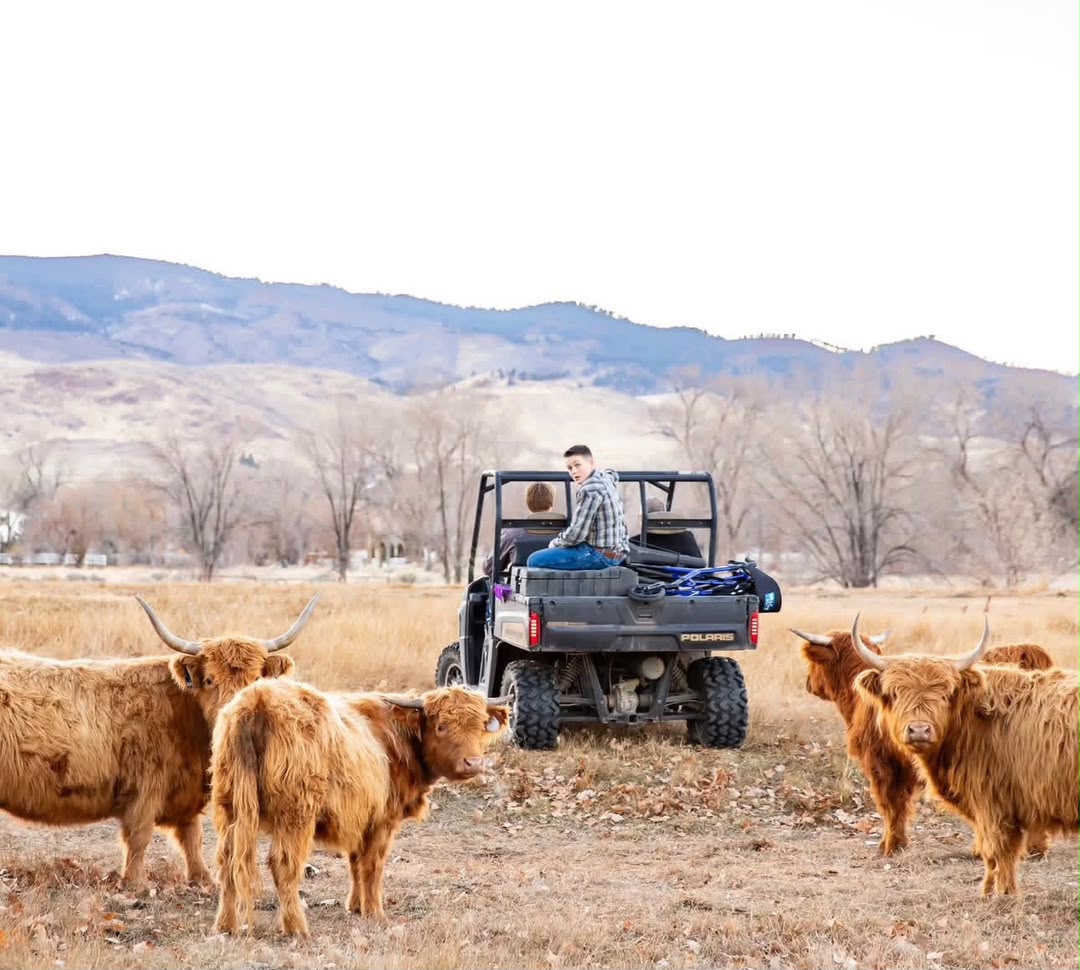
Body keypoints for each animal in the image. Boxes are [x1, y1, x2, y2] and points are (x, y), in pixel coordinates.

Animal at [0, 594, 316, 890]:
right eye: (210, 680)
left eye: (255, 679)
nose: (233, 714)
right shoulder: (144, 787)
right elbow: (139, 836)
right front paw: (137, 883)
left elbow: (191, 837)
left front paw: (203, 879)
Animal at [211, 682, 510, 937]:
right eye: (441, 726)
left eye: (480, 726)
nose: (473, 763)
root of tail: (258, 699)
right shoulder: (382, 820)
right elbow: (372, 866)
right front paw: (375, 913)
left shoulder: (358, 817)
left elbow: (355, 862)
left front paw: (355, 906)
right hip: (296, 814)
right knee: (284, 865)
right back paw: (297, 929)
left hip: (229, 808)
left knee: (227, 863)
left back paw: (226, 926)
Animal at [852, 613, 1078, 896]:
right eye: (895, 692)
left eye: (945, 693)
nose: (919, 730)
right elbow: (991, 854)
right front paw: (988, 891)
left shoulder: (995, 804)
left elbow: (999, 851)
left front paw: (1003, 895)